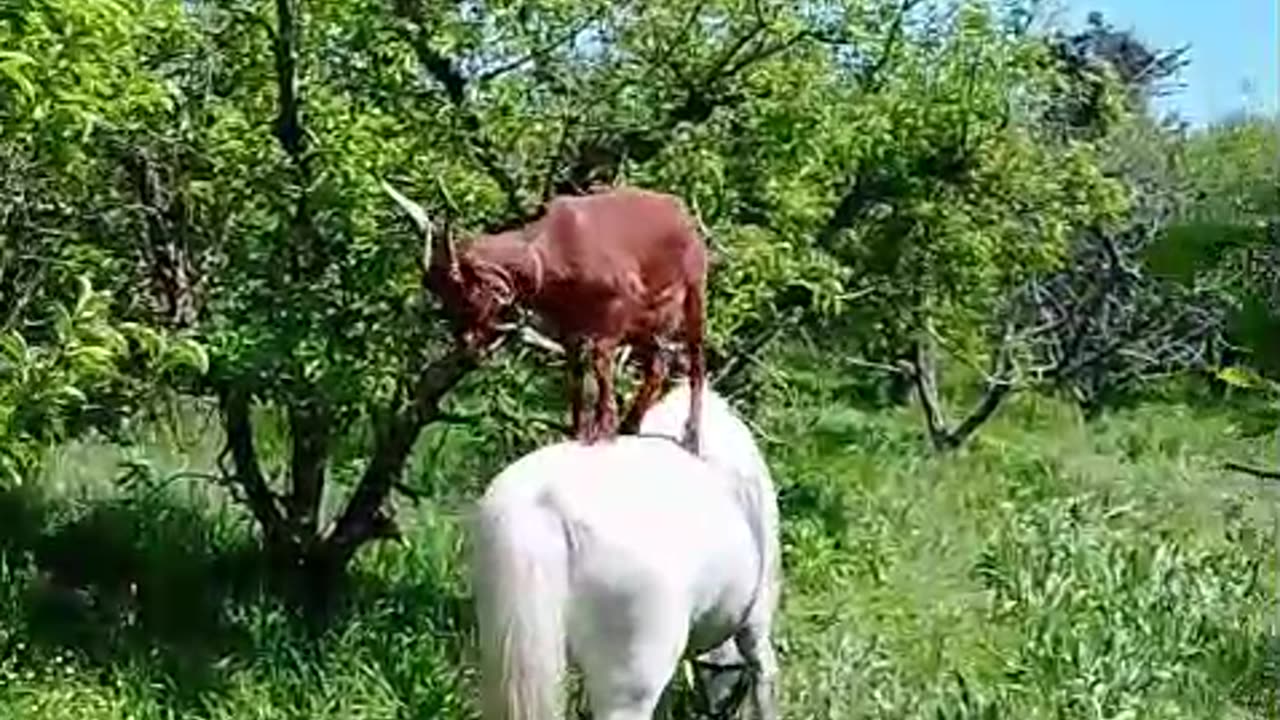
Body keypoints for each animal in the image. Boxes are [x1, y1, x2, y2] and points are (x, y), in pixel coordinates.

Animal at [381, 181, 708, 452]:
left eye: (468, 294)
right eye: (445, 302)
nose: (466, 343)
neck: (550, 255)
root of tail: (682, 214)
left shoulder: (616, 315)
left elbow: (601, 364)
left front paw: (604, 431)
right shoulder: (570, 332)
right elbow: (576, 378)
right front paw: (580, 432)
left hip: (693, 294)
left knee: (696, 363)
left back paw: (691, 438)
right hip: (646, 327)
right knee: (659, 365)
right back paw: (632, 425)